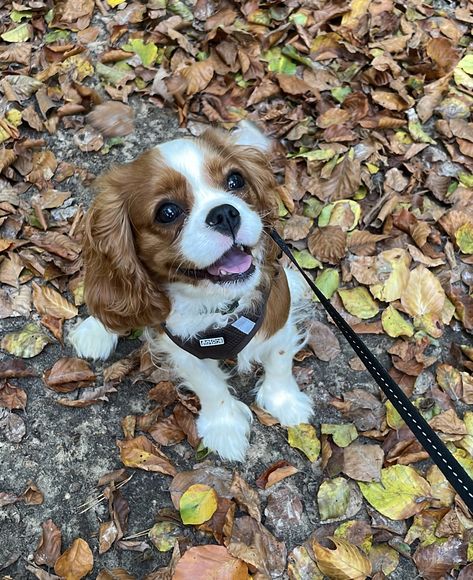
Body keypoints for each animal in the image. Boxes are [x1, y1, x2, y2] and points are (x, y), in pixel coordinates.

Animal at [69, 123, 314, 462]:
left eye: (235, 180)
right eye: (167, 212)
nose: (225, 213)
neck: (220, 305)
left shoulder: (276, 312)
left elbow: (279, 360)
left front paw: (285, 403)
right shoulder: (179, 344)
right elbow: (209, 386)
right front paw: (225, 428)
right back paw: (97, 330)